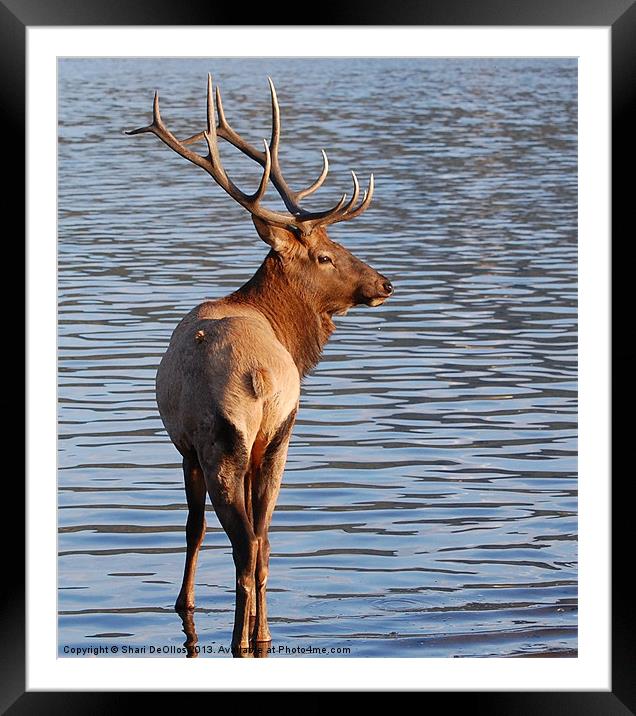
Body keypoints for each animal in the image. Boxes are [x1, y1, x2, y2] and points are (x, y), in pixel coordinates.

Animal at [125, 77, 392, 656]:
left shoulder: (187, 447)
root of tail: (261, 376)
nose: (385, 282)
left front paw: (184, 601)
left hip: (223, 443)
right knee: (263, 539)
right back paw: (260, 634)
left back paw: (241, 638)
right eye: (326, 255)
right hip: (274, 438)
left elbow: (193, 527)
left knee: (245, 544)